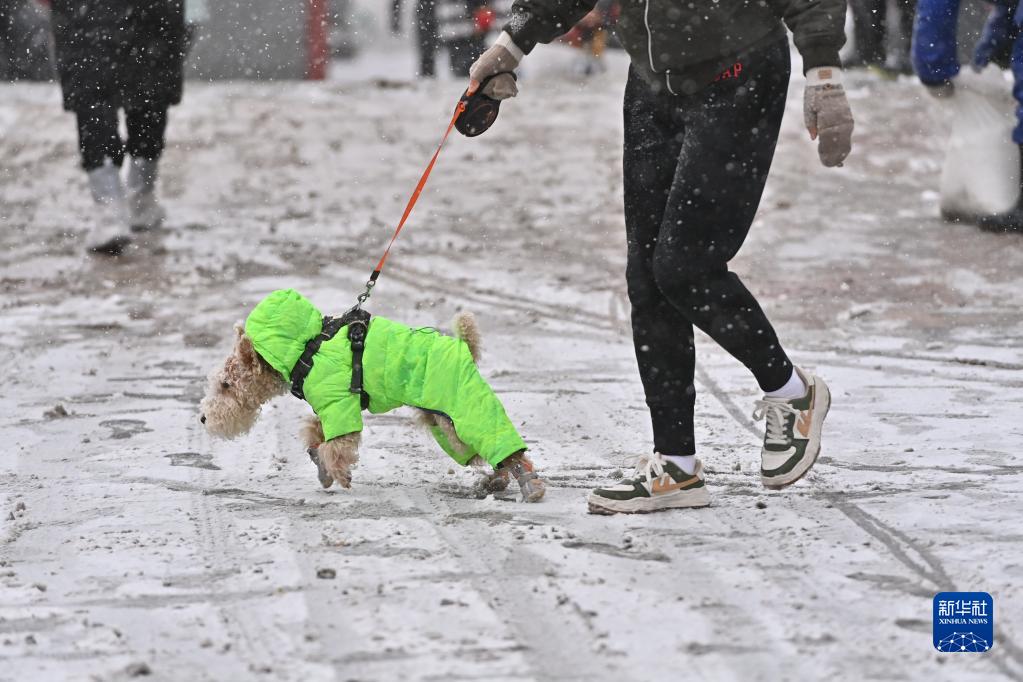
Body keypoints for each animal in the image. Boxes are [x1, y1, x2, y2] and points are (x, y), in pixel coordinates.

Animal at [201, 288, 552, 501]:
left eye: (226, 385)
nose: (204, 418)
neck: (306, 348)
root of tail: (463, 347)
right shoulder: (329, 409)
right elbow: (316, 434)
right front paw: (322, 466)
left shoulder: (340, 406)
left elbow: (336, 445)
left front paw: (338, 474)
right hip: (446, 424)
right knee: (490, 454)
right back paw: (495, 481)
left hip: (463, 410)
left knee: (508, 449)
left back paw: (529, 484)